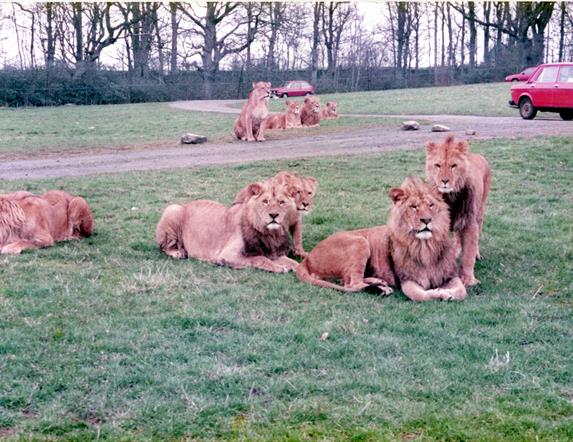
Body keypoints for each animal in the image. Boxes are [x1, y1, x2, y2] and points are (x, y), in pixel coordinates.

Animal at [156, 180, 300, 272]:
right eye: (265, 201)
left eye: (281, 202)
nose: (274, 215)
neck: (269, 233)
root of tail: (186, 204)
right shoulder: (228, 254)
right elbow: (259, 258)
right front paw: (279, 268)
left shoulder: (274, 252)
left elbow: (294, 262)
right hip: (172, 209)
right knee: (164, 247)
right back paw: (178, 252)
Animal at [294, 178, 464, 302]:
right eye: (413, 207)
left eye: (431, 205)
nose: (427, 220)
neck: (425, 246)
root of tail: (308, 258)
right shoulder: (407, 279)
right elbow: (419, 295)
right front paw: (442, 293)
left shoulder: (450, 275)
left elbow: (462, 291)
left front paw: (447, 291)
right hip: (360, 242)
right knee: (351, 284)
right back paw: (381, 289)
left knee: (347, 281)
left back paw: (379, 283)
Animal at [424, 136, 492, 286]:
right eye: (438, 165)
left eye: (453, 166)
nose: (444, 181)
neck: (450, 197)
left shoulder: (470, 223)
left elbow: (468, 254)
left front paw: (468, 278)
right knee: (457, 236)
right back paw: (456, 251)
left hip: (480, 211)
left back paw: (477, 254)